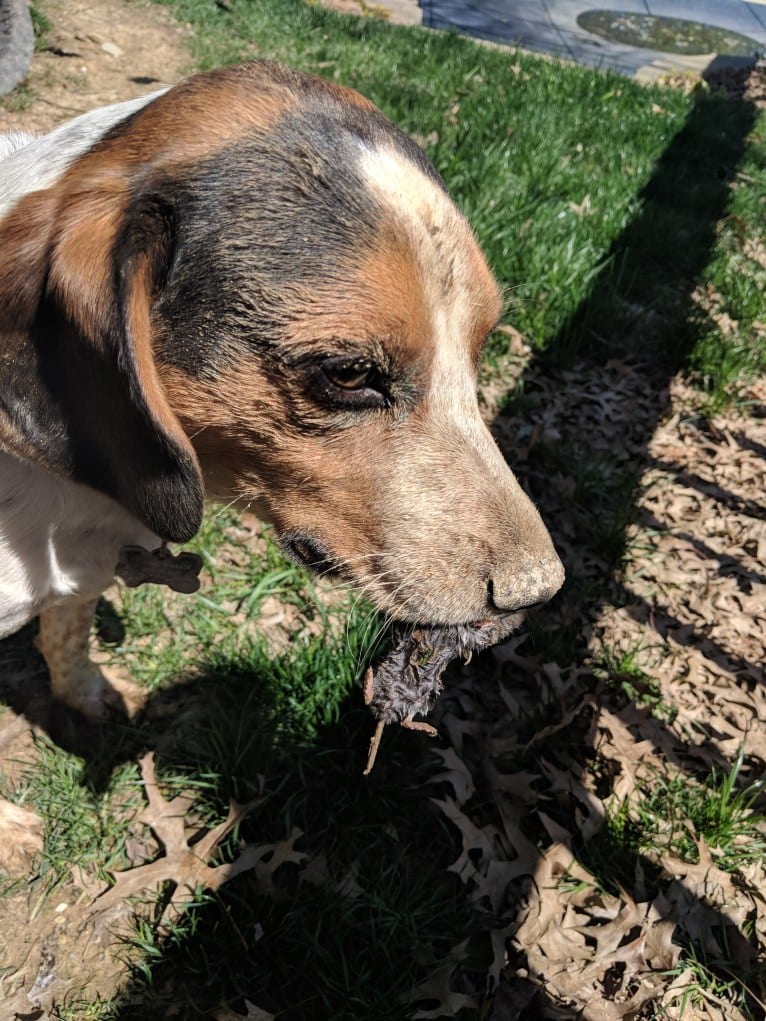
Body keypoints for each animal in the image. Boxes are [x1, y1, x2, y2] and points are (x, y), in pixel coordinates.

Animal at [0, 57, 563, 861]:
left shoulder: (79, 579)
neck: (76, 508)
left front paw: (90, 696)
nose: (539, 593)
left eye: (481, 346)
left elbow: (67, 632)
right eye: (350, 373)